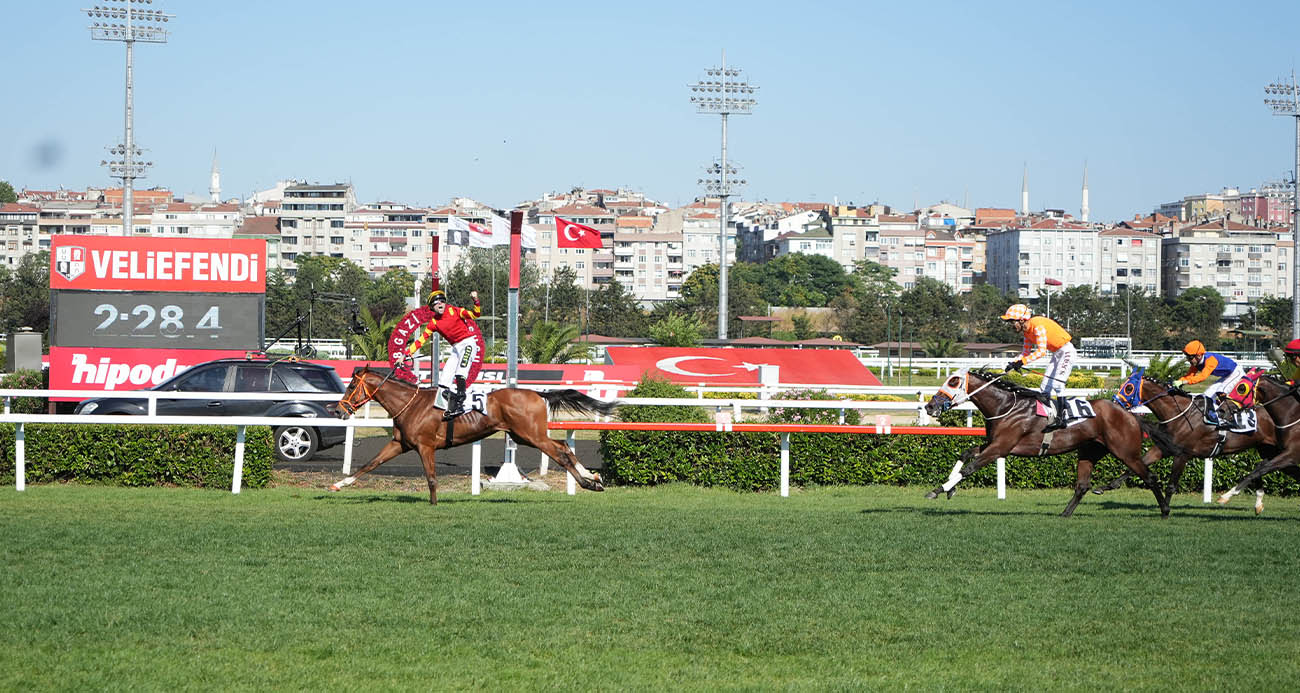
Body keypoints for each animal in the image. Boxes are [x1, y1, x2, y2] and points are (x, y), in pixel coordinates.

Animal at [335, 366, 618, 501]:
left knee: (561, 453)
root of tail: (538, 393)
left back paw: (589, 482)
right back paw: (592, 477)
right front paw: (341, 484)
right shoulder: (399, 443)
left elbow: (432, 479)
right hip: (524, 436)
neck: (411, 404)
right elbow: (371, 463)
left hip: (531, 435)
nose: (338, 410)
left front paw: (434, 504)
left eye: (351, 385)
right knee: (564, 446)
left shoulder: (426, 446)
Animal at [925, 366, 1170, 512]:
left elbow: (970, 468)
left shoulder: (1000, 448)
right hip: (1090, 451)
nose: (929, 406)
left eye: (953, 382)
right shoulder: (992, 444)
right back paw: (1064, 515)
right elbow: (965, 454)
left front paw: (942, 489)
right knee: (1082, 486)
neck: (1005, 406)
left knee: (1150, 477)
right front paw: (946, 489)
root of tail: (1130, 415)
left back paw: (1165, 511)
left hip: (1125, 452)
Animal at [1097, 369, 1279, 504]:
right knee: (1263, 466)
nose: (1114, 404)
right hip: (1267, 447)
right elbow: (1136, 465)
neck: (1179, 415)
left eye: (1128, 388)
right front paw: (1105, 487)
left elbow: (1171, 486)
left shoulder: (1183, 455)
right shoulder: (1163, 448)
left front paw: (1165, 509)